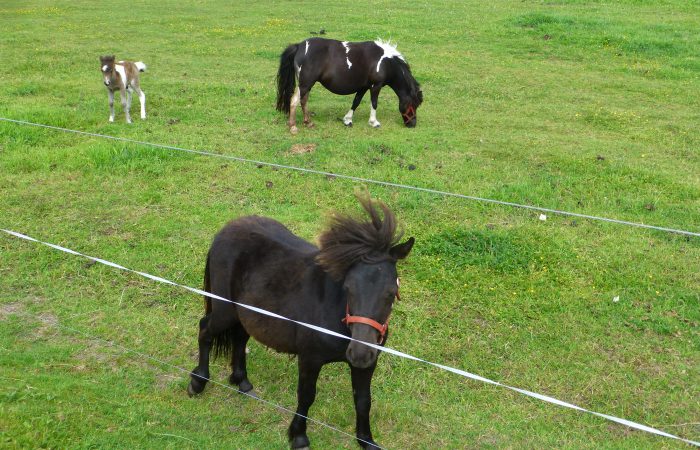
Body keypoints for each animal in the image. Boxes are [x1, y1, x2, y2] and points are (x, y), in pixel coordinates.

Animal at [188, 194, 414, 449]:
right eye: (348, 288)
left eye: (391, 292)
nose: (359, 353)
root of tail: (225, 230)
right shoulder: (309, 358)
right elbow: (306, 396)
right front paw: (298, 436)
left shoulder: (368, 365)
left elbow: (364, 400)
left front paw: (366, 440)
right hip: (225, 310)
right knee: (205, 329)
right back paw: (198, 381)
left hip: (245, 313)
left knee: (239, 337)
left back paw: (242, 382)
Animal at [276, 38, 423, 134]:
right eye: (414, 104)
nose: (412, 124)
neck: (385, 62)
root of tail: (299, 46)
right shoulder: (376, 86)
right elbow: (374, 103)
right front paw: (374, 122)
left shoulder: (363, 87)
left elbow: (356, 102)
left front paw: (347, 120)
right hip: (305, 84)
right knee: (295, 100)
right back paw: (293, 127)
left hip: (307, 85)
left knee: (303, 100)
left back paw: (308, 122)